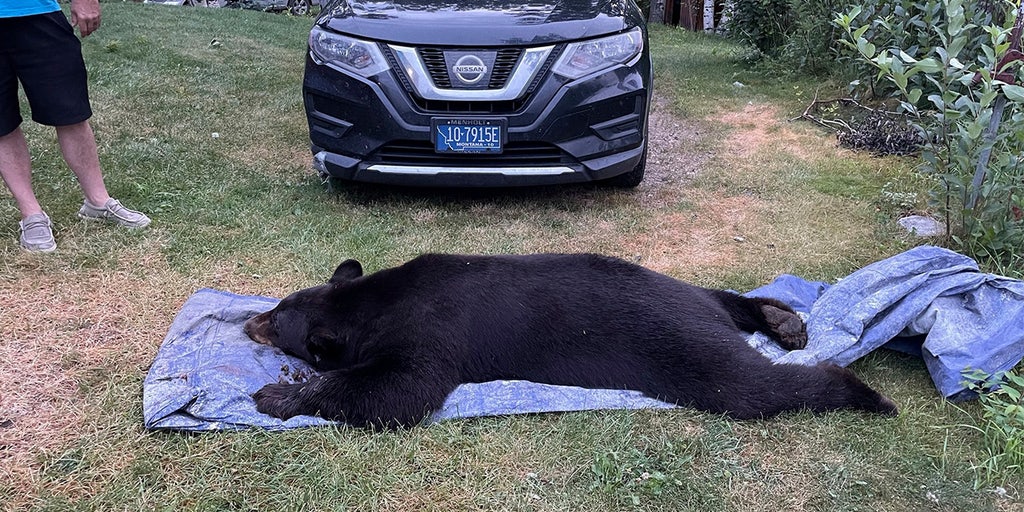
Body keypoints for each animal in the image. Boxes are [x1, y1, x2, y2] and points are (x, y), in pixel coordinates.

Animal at [244, 253, 898, 429]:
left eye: (277, 323)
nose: (248, 320)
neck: (372, 304)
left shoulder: (431, 334)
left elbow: (400, 390)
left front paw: (277, 396)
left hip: (689, 348)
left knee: (750, 386)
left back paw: (861, 391)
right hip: (688, 293)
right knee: (724, 297)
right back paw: (782, 320)